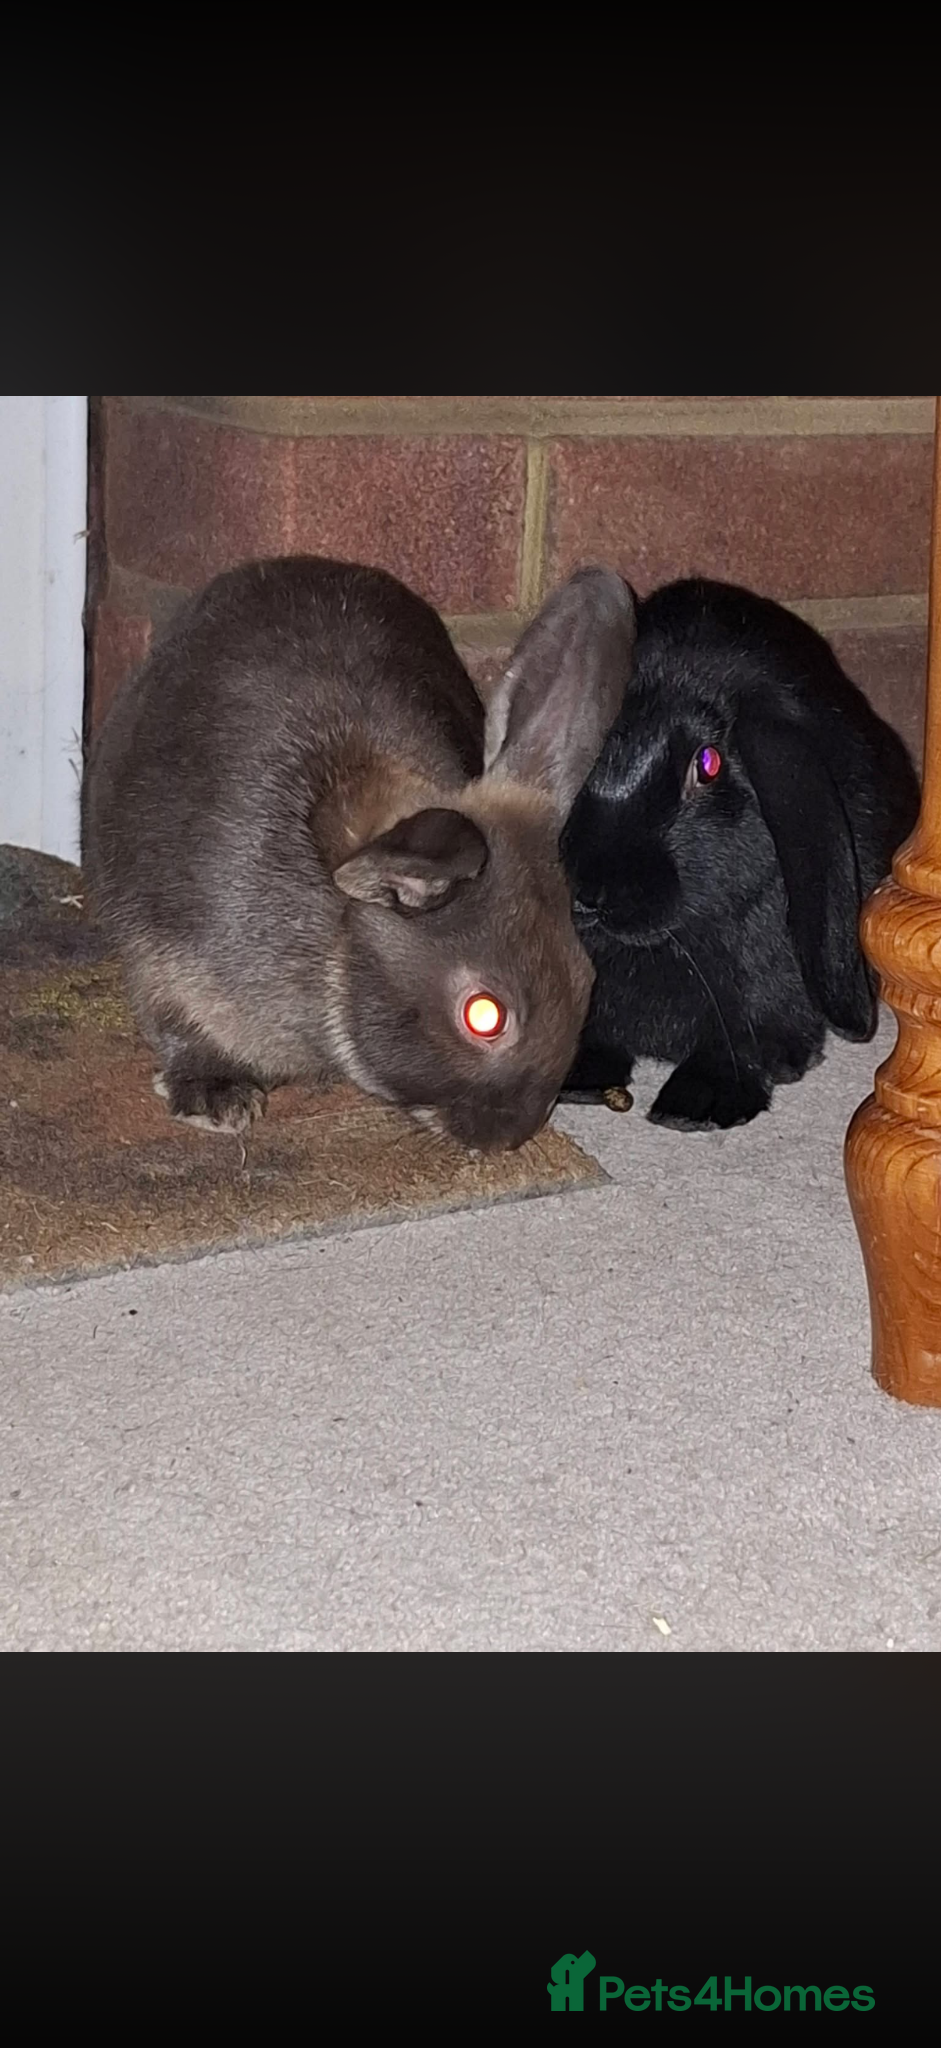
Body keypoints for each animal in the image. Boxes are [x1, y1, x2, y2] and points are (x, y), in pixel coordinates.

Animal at [81, 555, 635, 1154]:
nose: (508, 1136)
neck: (338, 935)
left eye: (585, 979)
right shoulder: (164, 957)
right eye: (485, 1016)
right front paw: (216, 1100)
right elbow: (176, 1023)